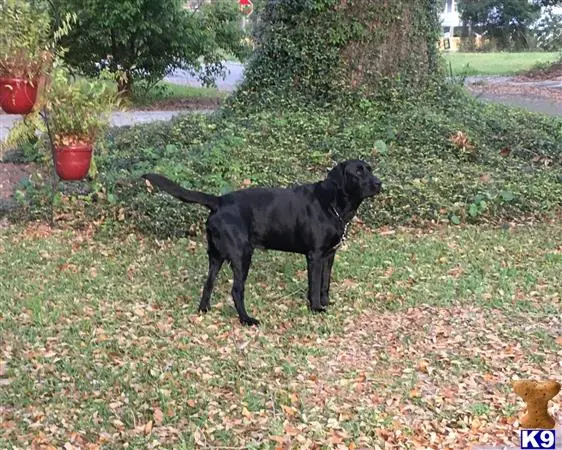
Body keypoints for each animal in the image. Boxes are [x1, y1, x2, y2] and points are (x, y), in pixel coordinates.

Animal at [142, 160, 382, 326]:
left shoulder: (329, 254)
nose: (379, 183)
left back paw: (204, 310)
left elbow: (325, 283)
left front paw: (325, 302)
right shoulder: (314, 255)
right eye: (358, 172)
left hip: (216, 256)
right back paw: (247, 320)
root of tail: (219, 201)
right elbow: (314, 285)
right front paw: (315, 308)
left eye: (370, 169)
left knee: (208, 283)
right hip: (242, 255)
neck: (333, 203)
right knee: (236, 290)